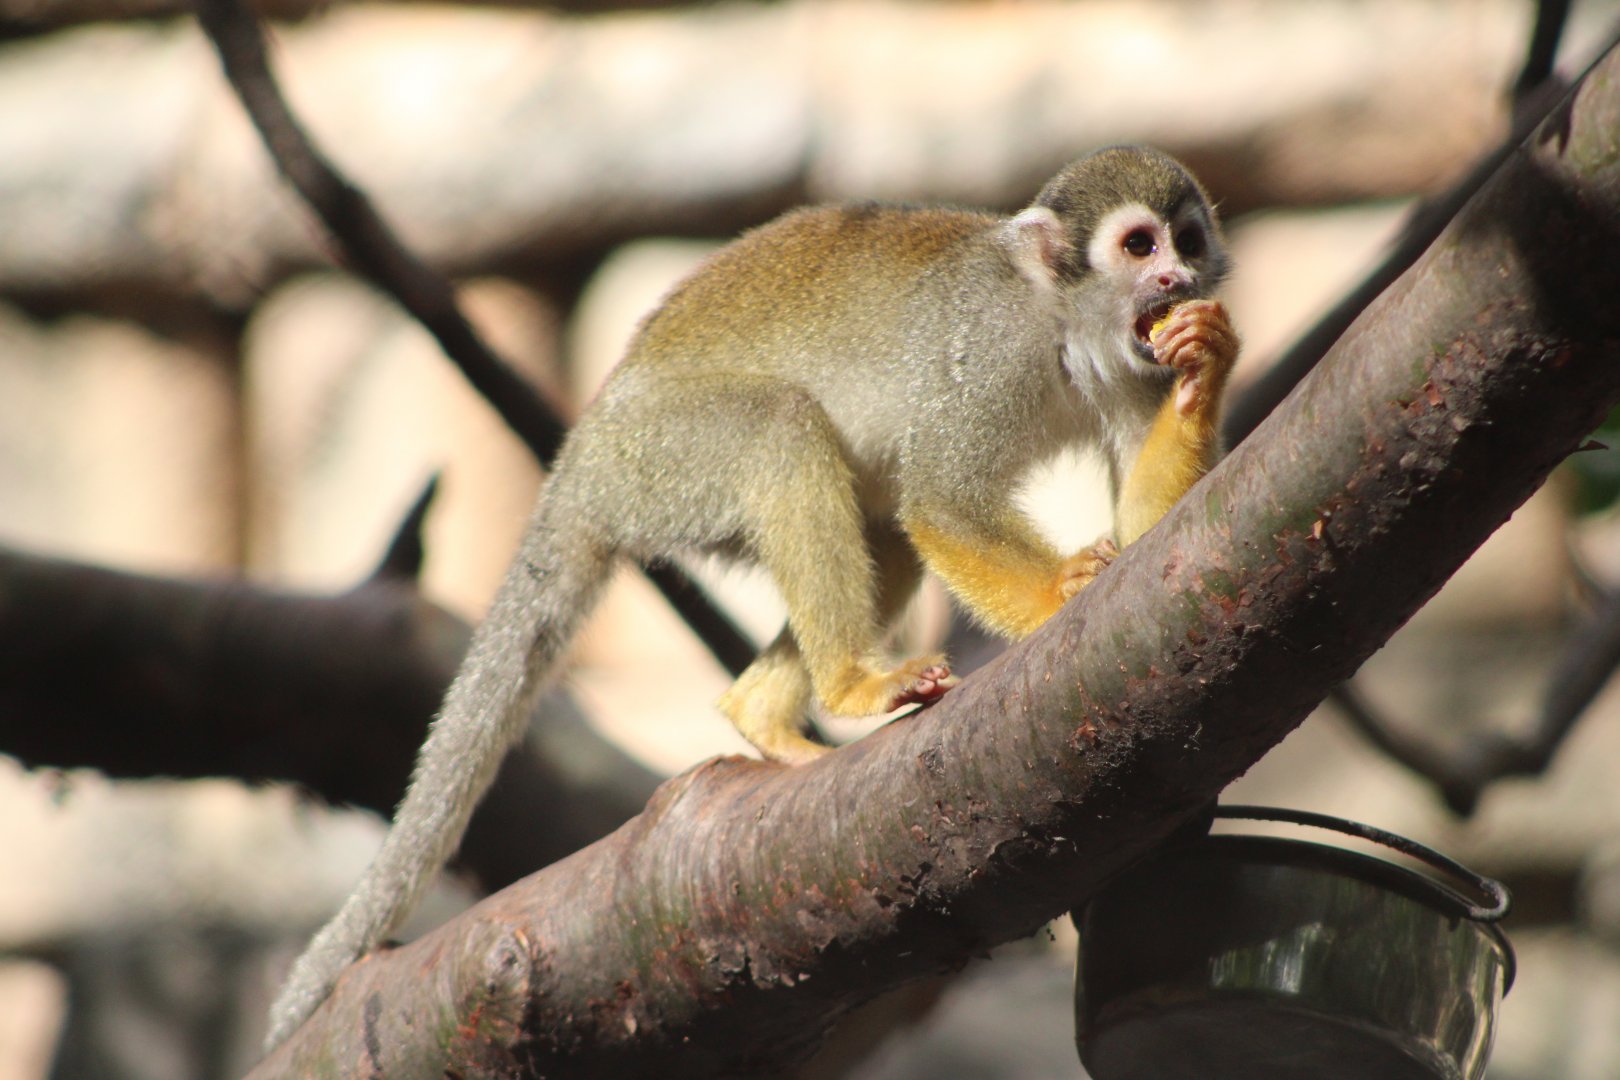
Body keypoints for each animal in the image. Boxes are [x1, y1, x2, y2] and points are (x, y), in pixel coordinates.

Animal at [264, 145, 1238, 1048]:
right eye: (1138, 244)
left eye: (1187, 242)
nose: (1176, 279)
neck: (1066, 328)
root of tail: (581, 462)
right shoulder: (990, 353)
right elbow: (943, 499)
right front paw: (1058, 598)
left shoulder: (1131, 366)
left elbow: (1150, 532)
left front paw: (1206, 367)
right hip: (663, 461)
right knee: (786, 430)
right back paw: (850, 683)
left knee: (879, 524)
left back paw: (765, 718)